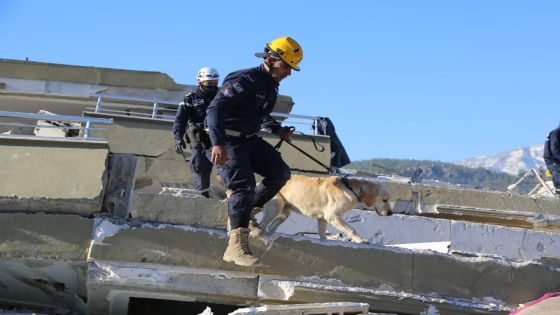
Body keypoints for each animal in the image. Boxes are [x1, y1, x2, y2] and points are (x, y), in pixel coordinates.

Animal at [256, 175, 392, 244]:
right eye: (384, 200)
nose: (390, 213)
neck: (350, 188)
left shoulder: (323, 217)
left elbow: (321, 231)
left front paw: (325, 240)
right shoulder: (332, 216)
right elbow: (351, 229)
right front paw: (361, 240)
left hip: (285, 211)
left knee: (271, 226)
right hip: (276, 206)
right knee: (263, 224)